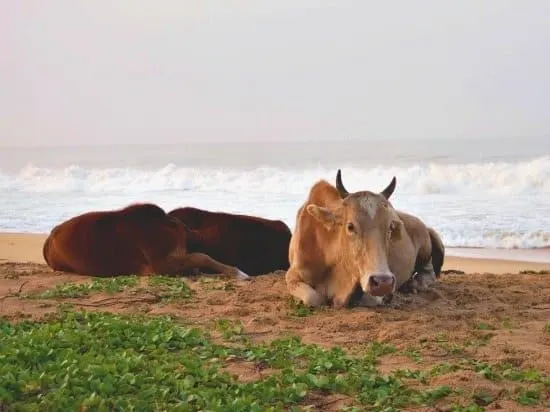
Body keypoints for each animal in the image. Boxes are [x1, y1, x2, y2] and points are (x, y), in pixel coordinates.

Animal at [284, 169, 444, 308]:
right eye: (350, 226)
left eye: (390, 228)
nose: (383, 282)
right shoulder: (292, 276)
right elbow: (313, 298)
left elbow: (369, 298)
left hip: (424, 250)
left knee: (429, 270)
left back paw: (415, 283)